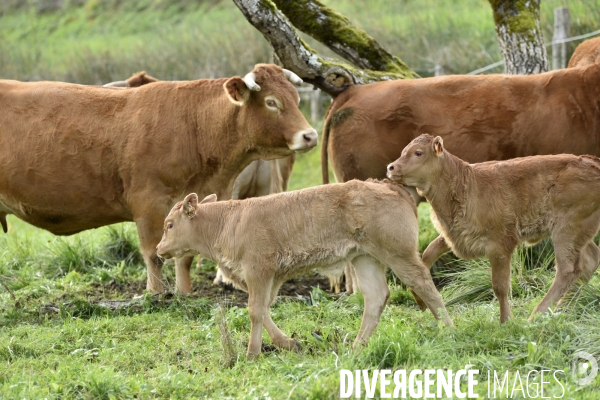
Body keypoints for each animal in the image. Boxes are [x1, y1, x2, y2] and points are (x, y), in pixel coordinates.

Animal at [0, 63, 318, 294]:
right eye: (272, 102)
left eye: (296, 99)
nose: (310, 135)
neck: (195, 126)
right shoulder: (147, 203)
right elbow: (153, 253)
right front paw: (156, 294)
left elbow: (185, 255)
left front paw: (184, 293)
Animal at [157, 180, 452, 358]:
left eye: (169, 224)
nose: (159, 249)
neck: (229, 221)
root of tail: (388, 186)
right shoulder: (268, 277)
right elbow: (263, 309)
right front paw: (288, 343)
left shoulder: (259, 270)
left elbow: (255, 311)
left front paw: (252, 353)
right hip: (365, 257)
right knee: (376, 297)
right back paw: (357, 347)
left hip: (399, 254)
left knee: (424, 285)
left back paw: (449, 330)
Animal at [386, 134, 600, 322]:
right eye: (404, 151)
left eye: (418, 153)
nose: (391, 167)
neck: (463, 184)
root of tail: (593, 163)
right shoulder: (455, 235)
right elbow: (427, 255)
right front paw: (419, 300)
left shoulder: (500, 246)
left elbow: (500, 286)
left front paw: (505, 321)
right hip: (578, 232)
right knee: (589, 260)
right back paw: (562, 309)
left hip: (566, 230)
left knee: (568, 269)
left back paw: (535, 316)